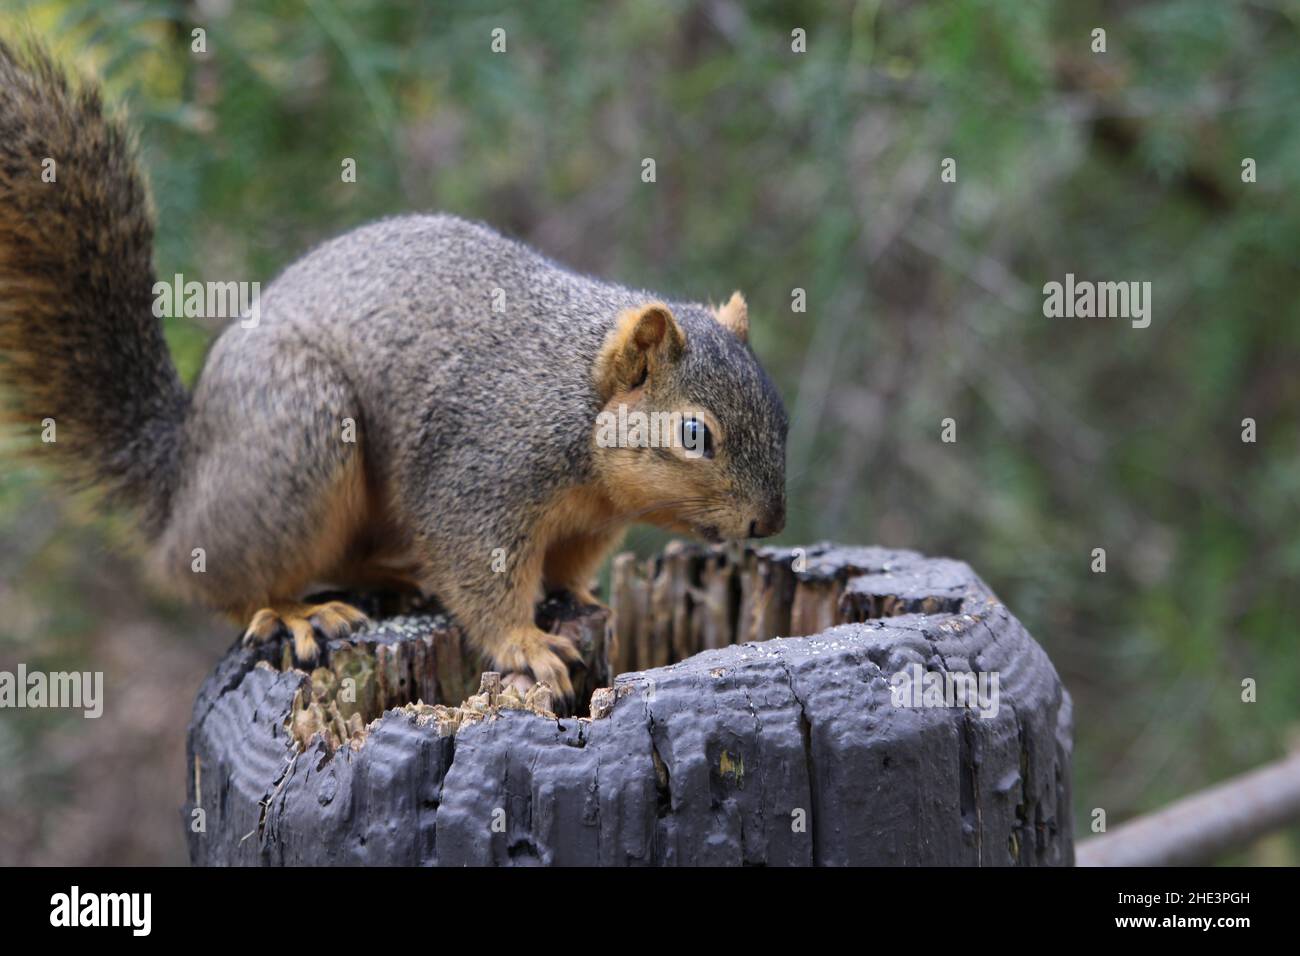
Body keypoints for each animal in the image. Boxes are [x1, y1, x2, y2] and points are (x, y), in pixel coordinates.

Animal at [0, 37, 780, 707]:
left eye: (780, 415)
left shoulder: (590, 522)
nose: (767, 521)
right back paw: (293, 611)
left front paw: (581, 600)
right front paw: (526, 644)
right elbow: (479, 568)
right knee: (215, 576)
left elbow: (566, 569)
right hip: (297, 437)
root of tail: (182, 477)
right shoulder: (481, 474)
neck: (577, 401)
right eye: (694, 434)